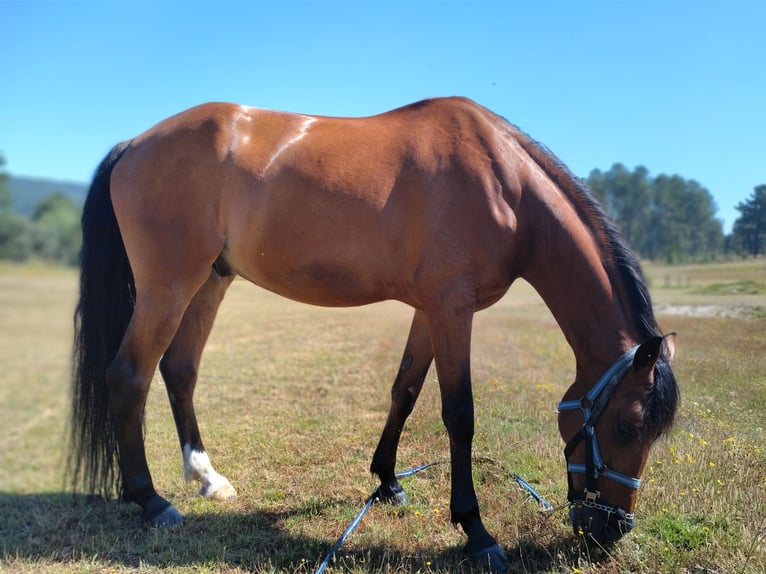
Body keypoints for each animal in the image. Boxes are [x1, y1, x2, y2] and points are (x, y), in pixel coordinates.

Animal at [69, 96, 678, 572]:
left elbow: (404, 391)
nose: (611, 531)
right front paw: (476, 532)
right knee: (129, 376)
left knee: (180, 370)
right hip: (168, 286)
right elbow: (459, 414)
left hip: (210, 282)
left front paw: (387, 481)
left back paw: (206, 477)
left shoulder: (429, 311)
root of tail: (134, 143)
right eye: (626, 425)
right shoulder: (452, 307)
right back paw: (151, 501)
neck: (502, 180)